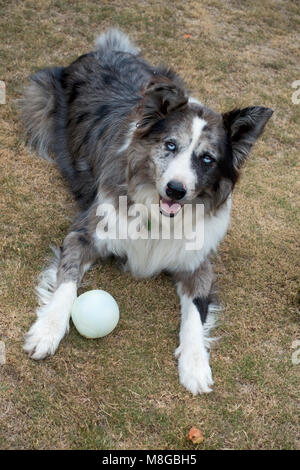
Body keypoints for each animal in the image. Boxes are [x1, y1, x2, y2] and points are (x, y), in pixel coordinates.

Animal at [21, 29, 274, 394]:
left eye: (206, 159)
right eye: (170, 145)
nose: (176, 189)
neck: (158, 215)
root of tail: (106, 51)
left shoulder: (197, 262)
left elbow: (196, 314)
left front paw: (195, 364)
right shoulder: (84, 233)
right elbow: (66, 281)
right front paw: (47, 330)